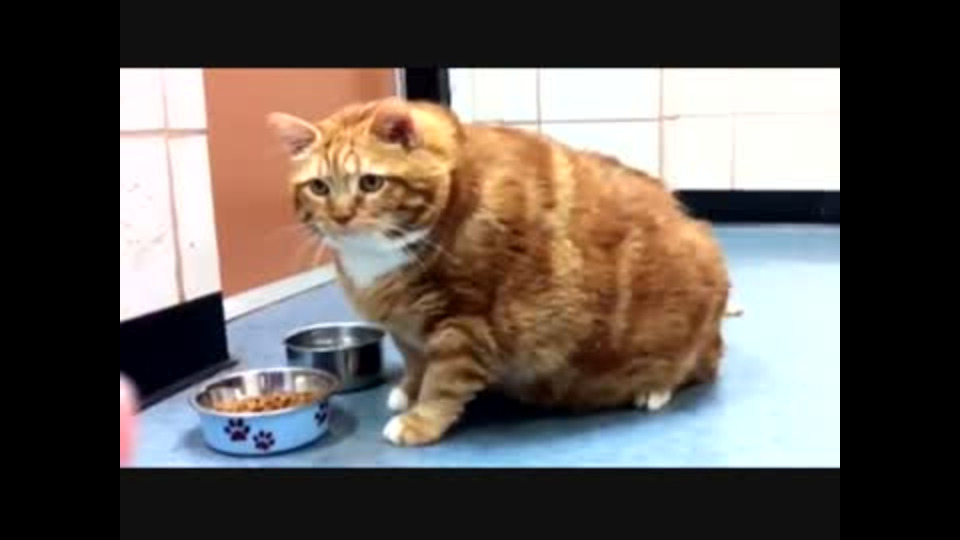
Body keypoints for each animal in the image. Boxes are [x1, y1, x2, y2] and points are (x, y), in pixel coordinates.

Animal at [267, 97, 732, 446]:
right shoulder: (407, 328)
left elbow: (443, 382)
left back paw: (655, 388)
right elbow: (417, 364)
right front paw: (407, 392)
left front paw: (420, 421)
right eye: (319, 187)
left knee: (699, 364)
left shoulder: (464, 324)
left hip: (687, 322)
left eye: (370, 182)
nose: (341, 217)